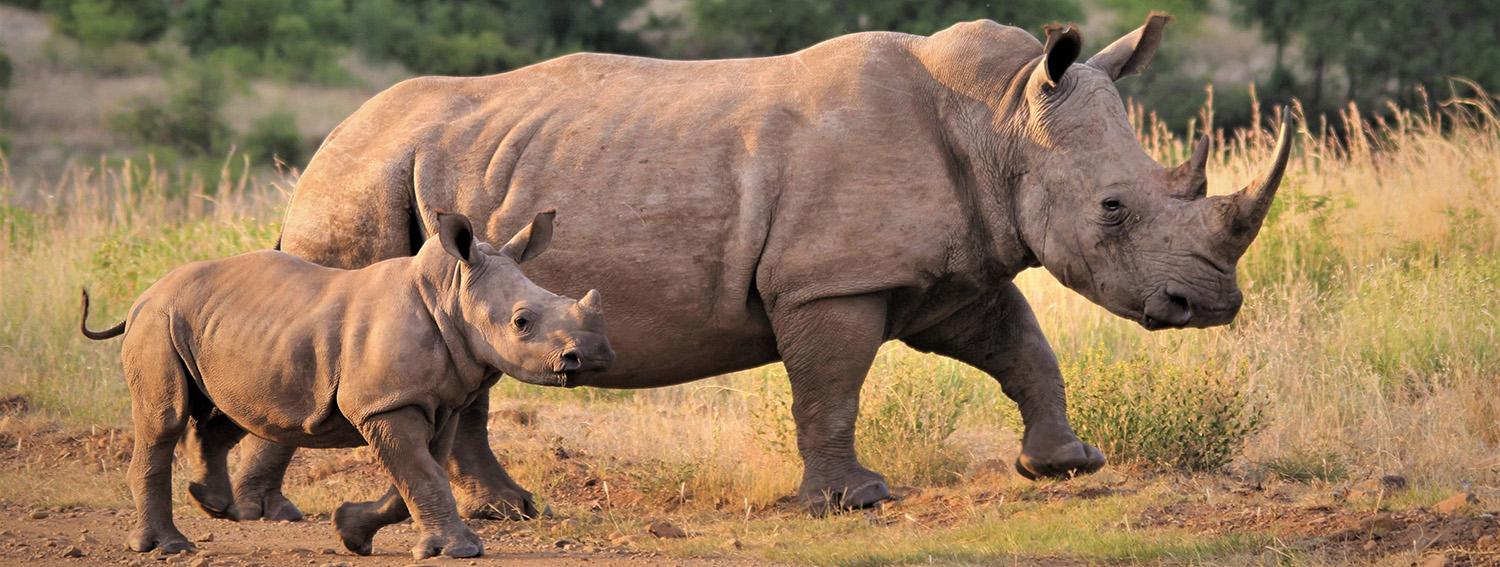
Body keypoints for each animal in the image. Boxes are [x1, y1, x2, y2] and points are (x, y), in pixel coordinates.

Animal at [81, 211, 614, 558]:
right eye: (522, 322)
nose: (594, 356)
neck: (450, 294)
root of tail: (142, 295)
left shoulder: (437, 402)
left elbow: (417, 476)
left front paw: (351, 533)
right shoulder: (385, 404)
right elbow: (423, 474)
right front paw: (462, 550)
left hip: (214, 327)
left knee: (231, 410)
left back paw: (215, 505)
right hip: (158, 321)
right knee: (164, 420)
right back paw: (169, 547)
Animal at [209, 12, 1294, 519]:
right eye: (1113, 207)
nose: (1210, 302)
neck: (997, 119)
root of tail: (328, 144)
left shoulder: (953, 271)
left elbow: (1023, 347)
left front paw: (1065, 465)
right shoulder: (831, 279)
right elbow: (831, 387)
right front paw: (855, 500)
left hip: (427, 181)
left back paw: (504, 508)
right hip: (360, 184)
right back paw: (268, 514)